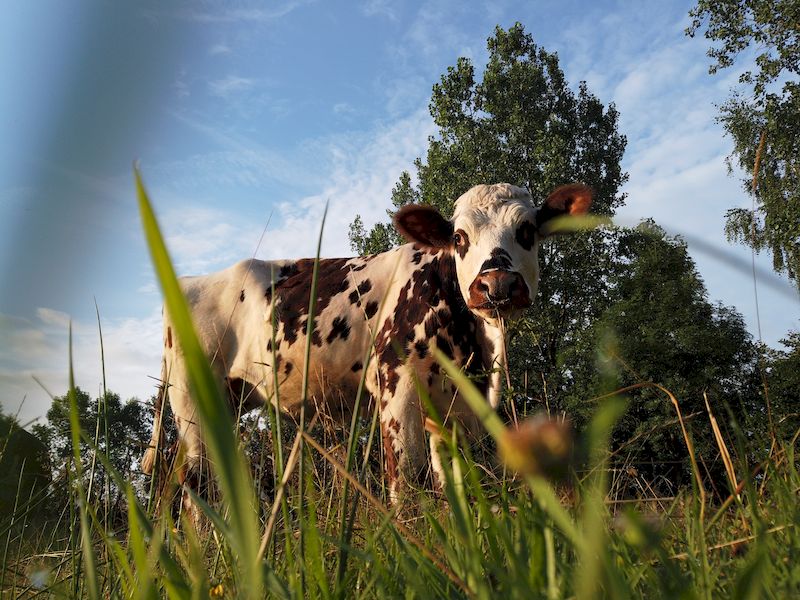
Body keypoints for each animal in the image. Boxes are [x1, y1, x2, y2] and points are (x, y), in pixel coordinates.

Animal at [141, 183, 592, 506]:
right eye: (460, 237)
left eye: (527, 231)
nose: (496, 284)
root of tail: (190, 282)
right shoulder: (397, 386)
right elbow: (408, 483)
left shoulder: (459, 407)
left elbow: (457, 483)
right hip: (193, 400)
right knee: (198, 482)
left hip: (224, 404)